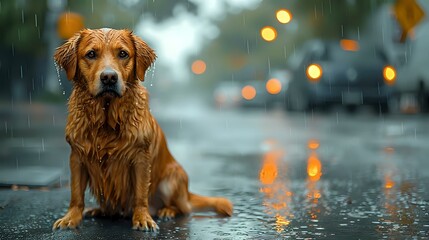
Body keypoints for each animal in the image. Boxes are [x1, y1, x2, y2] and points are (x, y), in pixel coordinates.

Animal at [52, 27, 234, 231]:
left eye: (123, 54)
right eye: (91, 54)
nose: (109, 77)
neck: (107, 117)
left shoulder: (140, 157)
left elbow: (140, 194)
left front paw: (142, 218)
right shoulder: (77, 156)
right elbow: (76, 194)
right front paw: (71, 218)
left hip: (173, 177)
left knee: (182, 208)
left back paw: (166, 211)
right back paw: (98, 210)